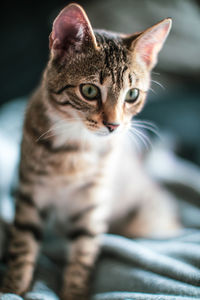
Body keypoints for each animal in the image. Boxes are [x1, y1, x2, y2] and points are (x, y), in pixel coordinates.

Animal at [0, 2, 180, 300]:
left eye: (132, 95)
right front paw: (14, 286)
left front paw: (74, 292)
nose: (114, 125)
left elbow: (83, 253)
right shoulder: (30, 192)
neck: (75, 146)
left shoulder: (92, 204)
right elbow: (23, 242)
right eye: (89, 90)